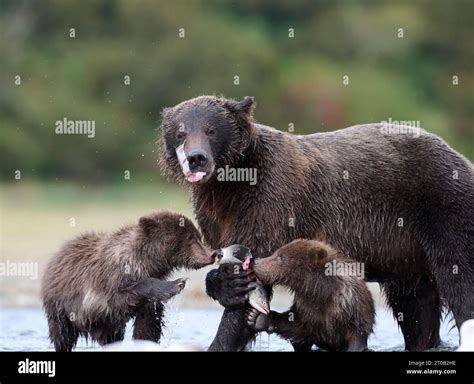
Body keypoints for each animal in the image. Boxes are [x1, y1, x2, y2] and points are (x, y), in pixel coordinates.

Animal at [41, 212, 214, 352]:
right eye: (190, 238)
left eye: (198, 236)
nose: (211, 254)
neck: (147, 262)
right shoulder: (107, 283)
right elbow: (118, 299)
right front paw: (177, 284)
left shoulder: (147, 301)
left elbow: (147, 324)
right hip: (59, 306)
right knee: (62, 335)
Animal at [246, 240, 376, 352]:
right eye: (276, 252)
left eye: (280, 257)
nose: (255, 261)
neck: (321, 293)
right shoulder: (306, 309)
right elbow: (295, 326)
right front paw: (257, 318)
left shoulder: (349, 306)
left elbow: (357, 335)